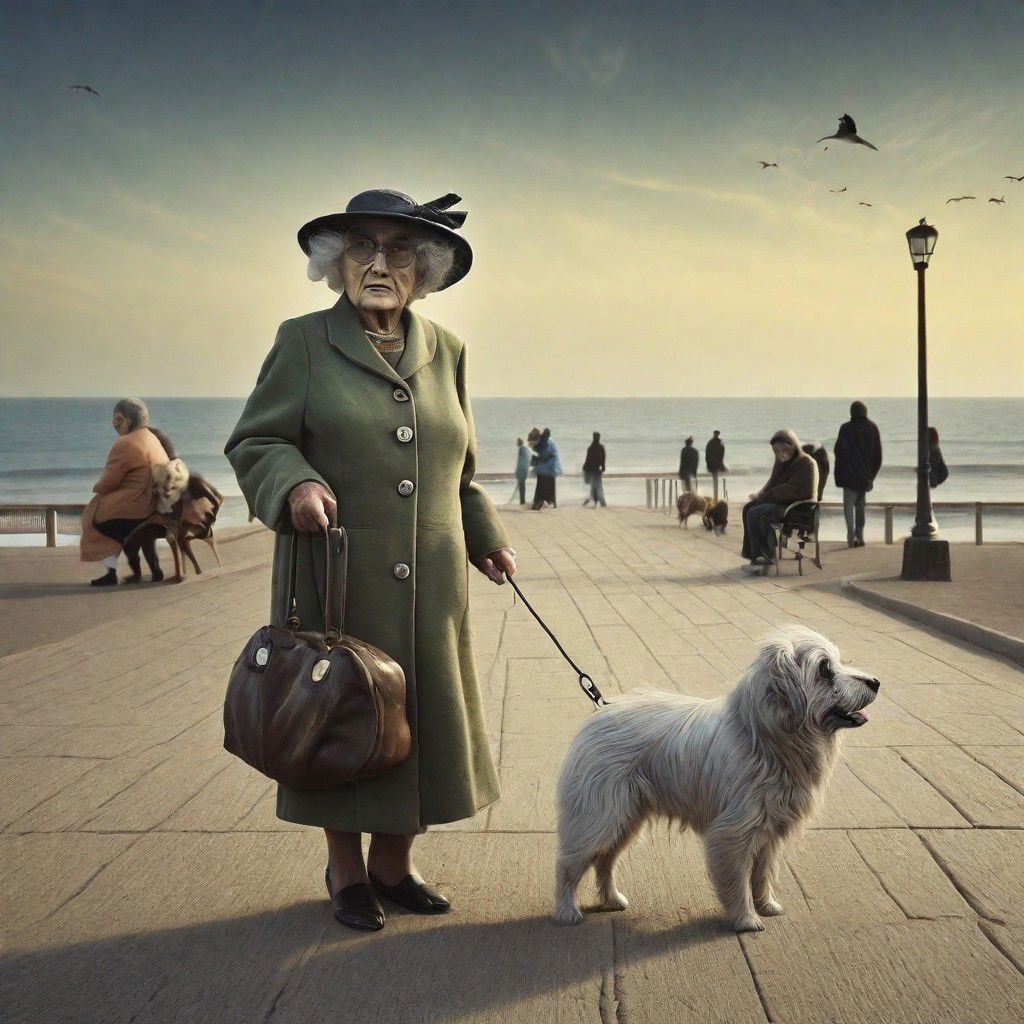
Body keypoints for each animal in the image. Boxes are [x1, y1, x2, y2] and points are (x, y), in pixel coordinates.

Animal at [552, 626, 880, 933]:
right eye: (825, 669)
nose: (876, 682)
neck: (761, 739)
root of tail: (598, 714)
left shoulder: (768, 833)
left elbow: (762, 876)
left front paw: (766, 905)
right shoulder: (732, 833)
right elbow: (737, 882)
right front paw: (746, 919)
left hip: (625, 819)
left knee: (604, 860)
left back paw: (611, 899)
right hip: (598, 816)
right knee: (568, 862)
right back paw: (567, 910)